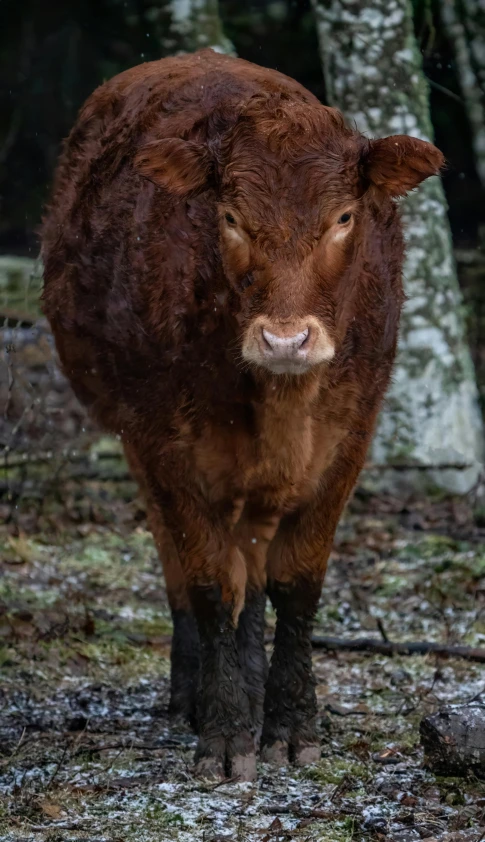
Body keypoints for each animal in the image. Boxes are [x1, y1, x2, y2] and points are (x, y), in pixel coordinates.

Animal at [41, 49, 442, 776]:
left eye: (344, 217)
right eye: (228, 217)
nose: (285, 340)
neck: (284, 402)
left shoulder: (351, 436)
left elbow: (295, 580)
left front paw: (290, 723)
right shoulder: (164, 440)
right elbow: (207, 580)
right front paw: (226, 730)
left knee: (253, 566)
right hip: (136, 439)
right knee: (190, 567)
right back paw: (193, 696)